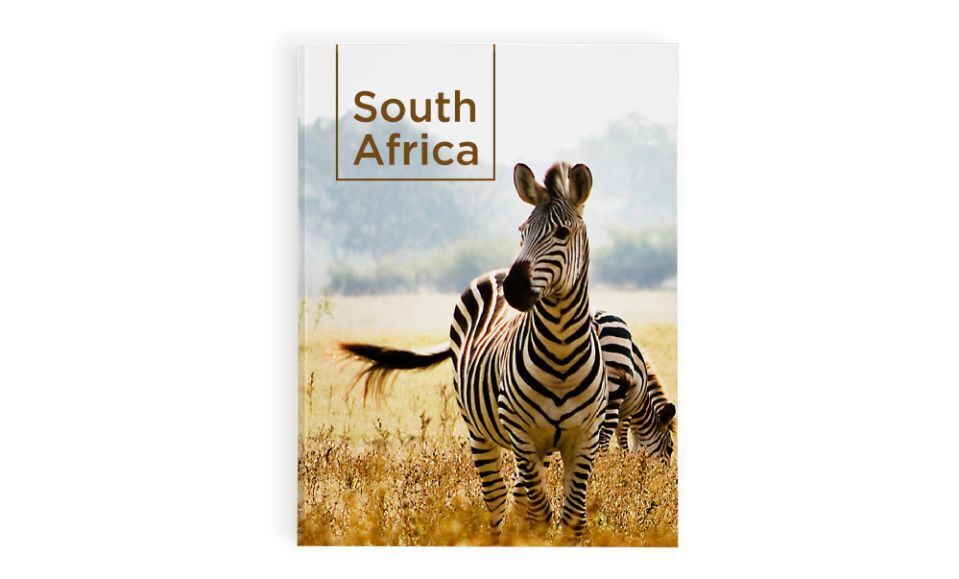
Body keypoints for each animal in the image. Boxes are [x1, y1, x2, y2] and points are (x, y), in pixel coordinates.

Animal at [341, 162, 606, 539]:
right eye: (522, 231)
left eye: (562, 233)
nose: (514, 288)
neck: (561, 352)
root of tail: (495, 273)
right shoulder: (522, 434)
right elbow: (540, 514)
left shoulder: (585, 438)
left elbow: (574, 519)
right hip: (480, 432)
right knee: (496, 500)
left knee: (517, 497)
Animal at [594, 311, 676, 460]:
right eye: (670, 448)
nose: (666, 470)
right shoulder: (627, 412)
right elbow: (624, 442)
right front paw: (623, 462)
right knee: (604, 438)